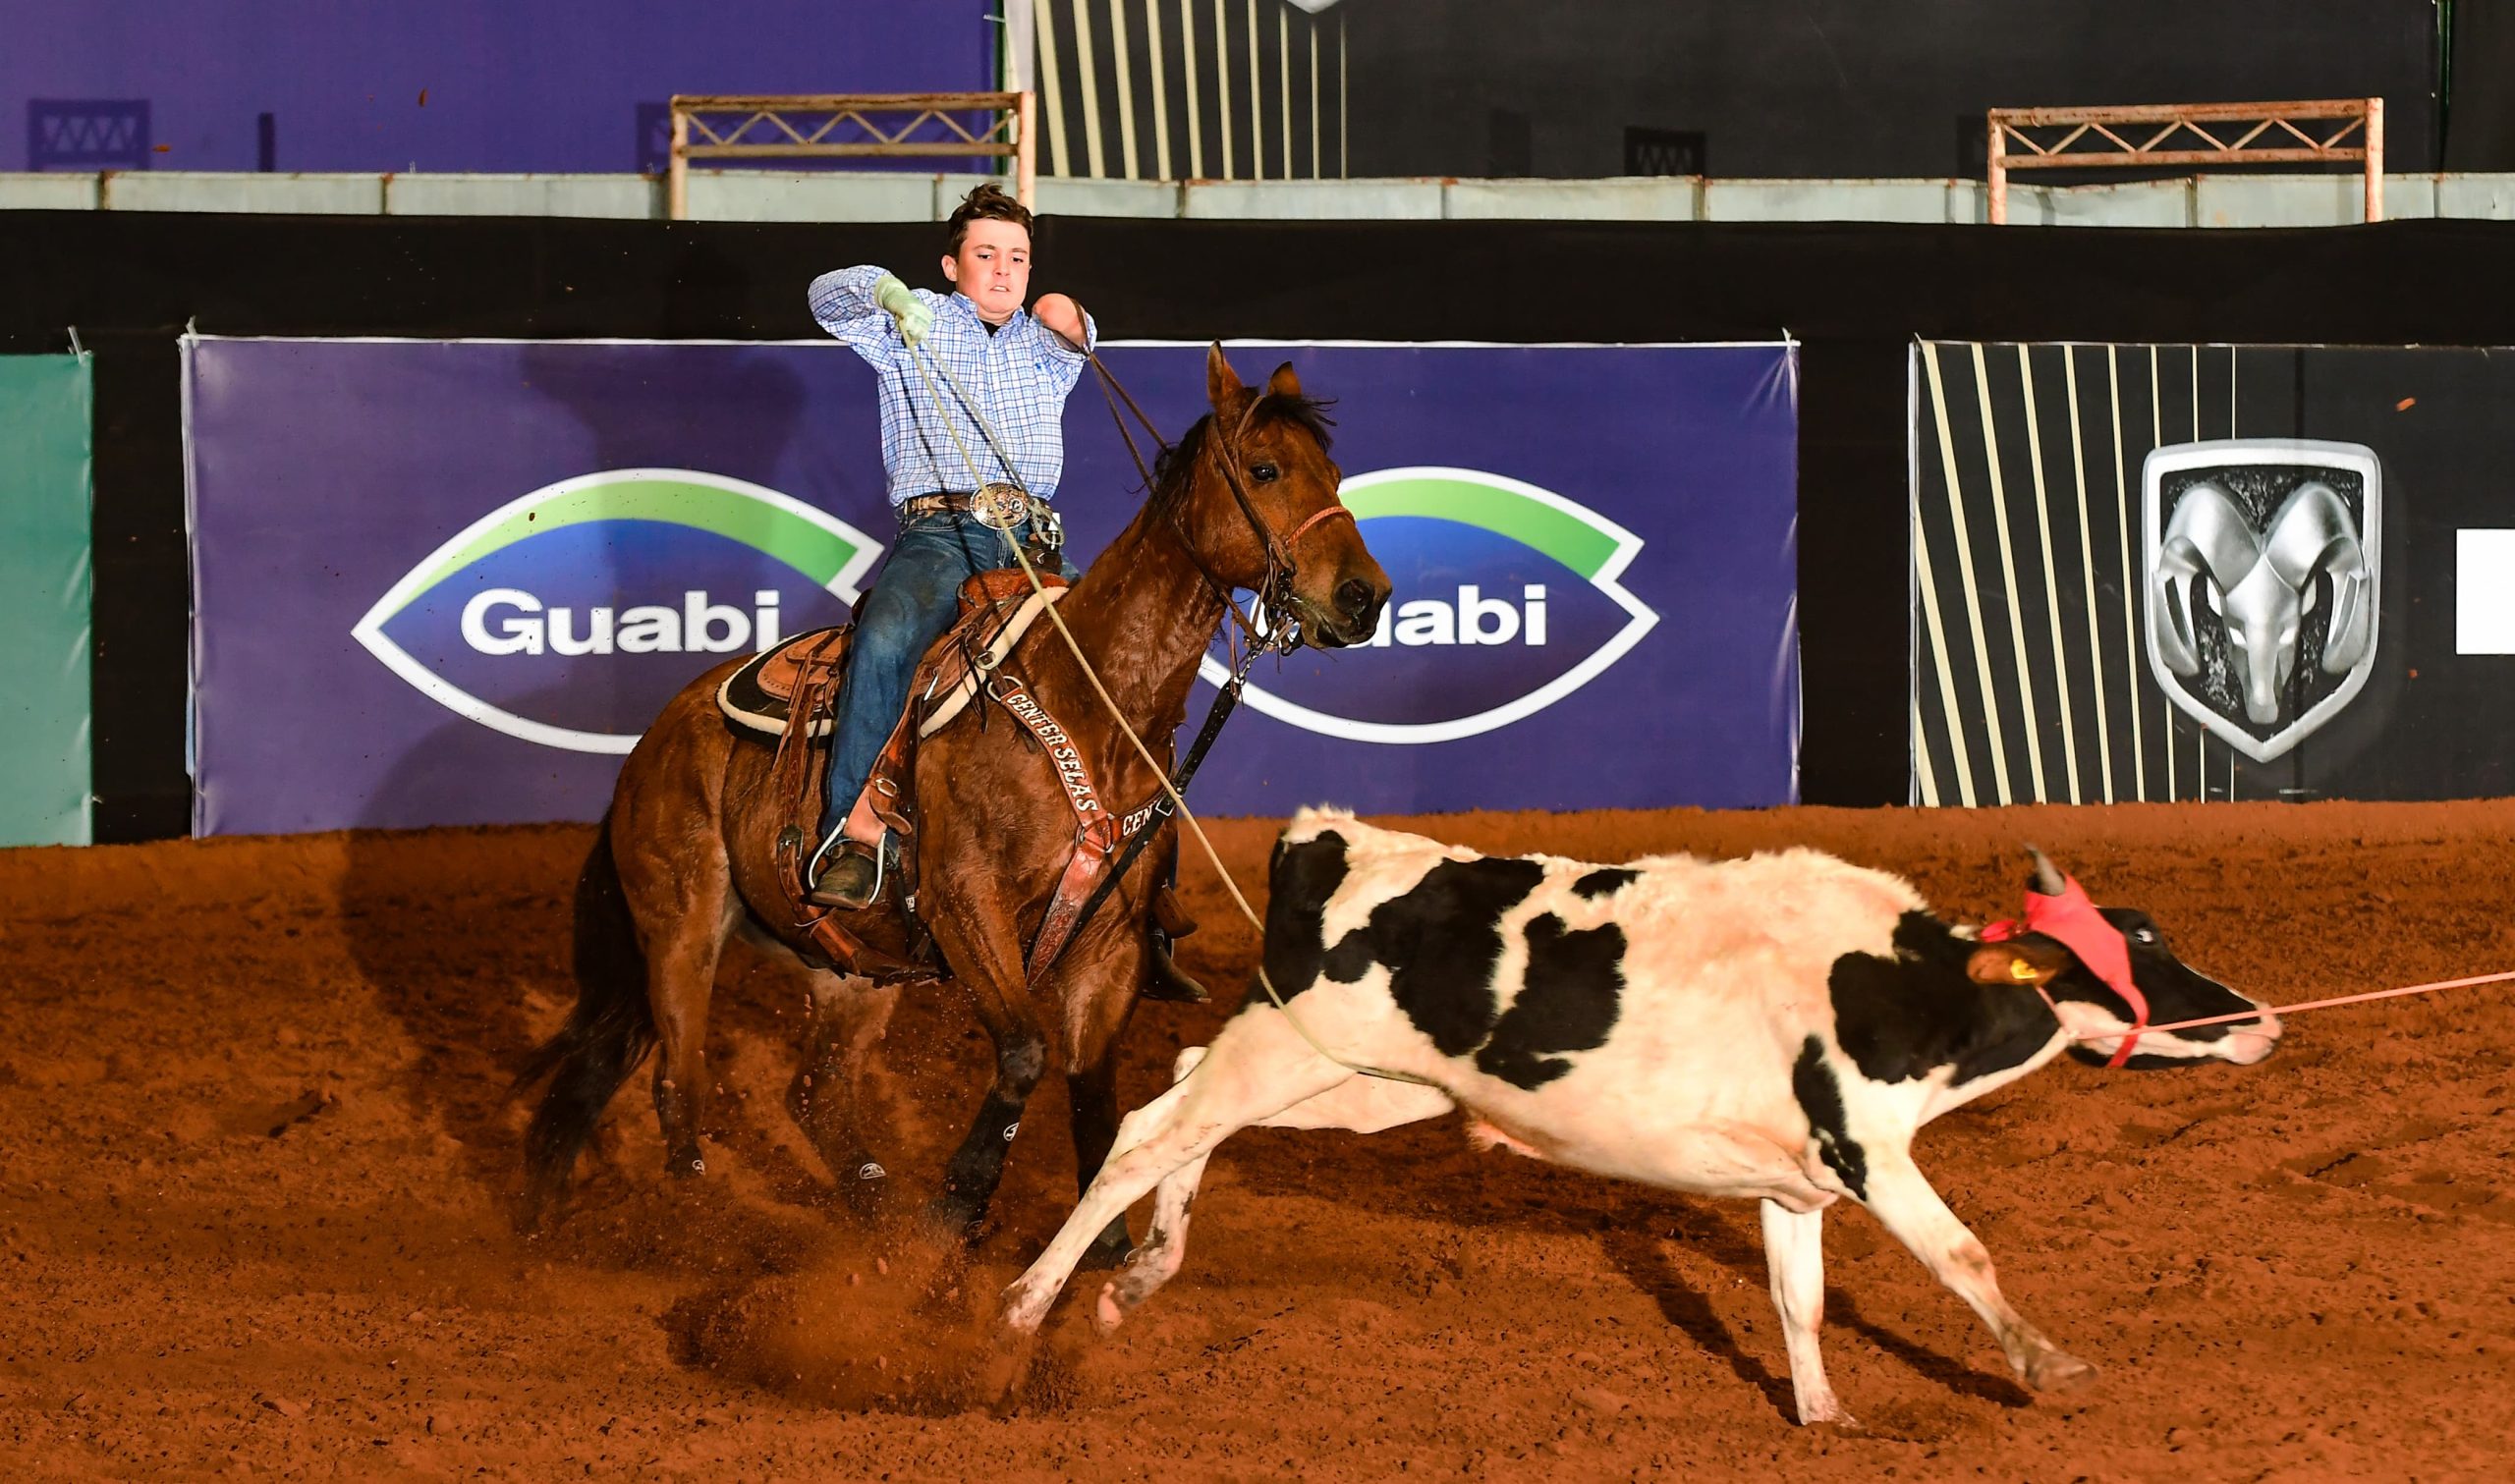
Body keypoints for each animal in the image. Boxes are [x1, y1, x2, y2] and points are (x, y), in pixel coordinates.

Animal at [518, 347, 1398, 1257]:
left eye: (1333, 472)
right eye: (1264, 470)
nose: (1364, 595)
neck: (1089, 701)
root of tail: (653, 741)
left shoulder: (1111, 941)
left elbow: (1091, 1085)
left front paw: (1101, 1240)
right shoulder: (967, 905)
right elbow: (1025, 1052)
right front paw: (956, 1204)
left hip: (856, 967)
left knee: (806, 1092)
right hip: (681, 927)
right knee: (678, 1085)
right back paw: (698, 1228)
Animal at [995, 814, 2283, 1428]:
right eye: (2138, 945)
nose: (2263, 1017)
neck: (1896, 981)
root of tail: (1334, 838)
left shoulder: (1795, 1183)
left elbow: (1799, 1299)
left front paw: (1824, 1414)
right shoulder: (1866, 1148)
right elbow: (1962, 1252)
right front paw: (2049, 1362)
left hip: (1355, 1081)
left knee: (1182, 1101)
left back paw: (1140, 1272)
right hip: (1291, 1046)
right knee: (1148, 1135)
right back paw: (1022, 1306)